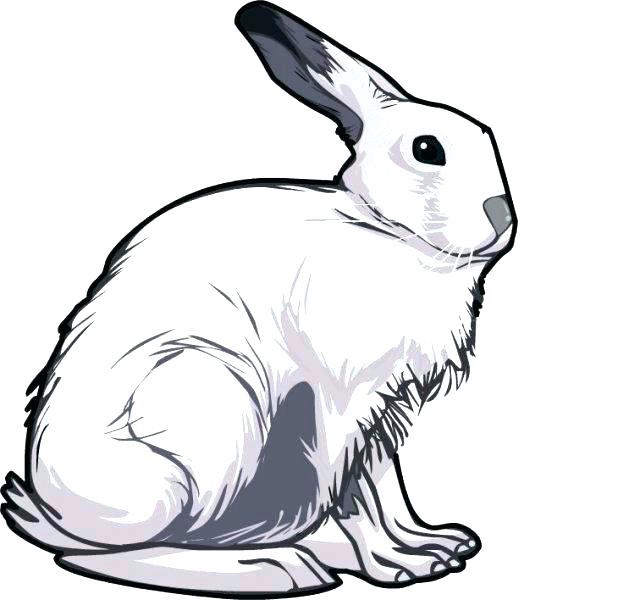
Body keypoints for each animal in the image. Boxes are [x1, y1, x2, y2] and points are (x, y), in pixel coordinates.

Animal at [1, 1, 516, 596]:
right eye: (427, 149)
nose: (503, 215)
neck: (389, 231)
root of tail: (53, 506)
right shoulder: (344, 404)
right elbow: (358, 495)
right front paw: (395, 567)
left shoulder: (388, 408)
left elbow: (388, 486)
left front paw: (435, 546)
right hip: (203, 420)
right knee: (110, 553)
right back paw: (279, 569)